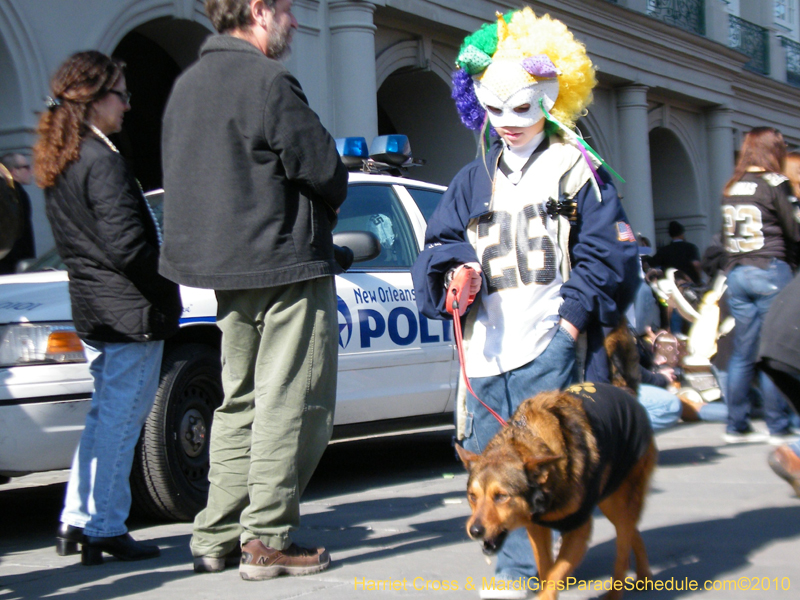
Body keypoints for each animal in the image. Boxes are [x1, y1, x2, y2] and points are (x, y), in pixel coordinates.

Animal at [456, 384, 656, 600]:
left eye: (501, 496)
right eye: (472, 497)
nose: (475, 531)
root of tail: (625, 391)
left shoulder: (579, 529)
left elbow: (555, 574)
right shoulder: (536, 528)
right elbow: (546, 569)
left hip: (620, 500)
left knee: (623, 549)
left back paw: (616, 592)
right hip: (610, 501)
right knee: (632, 531)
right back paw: (644, 575)